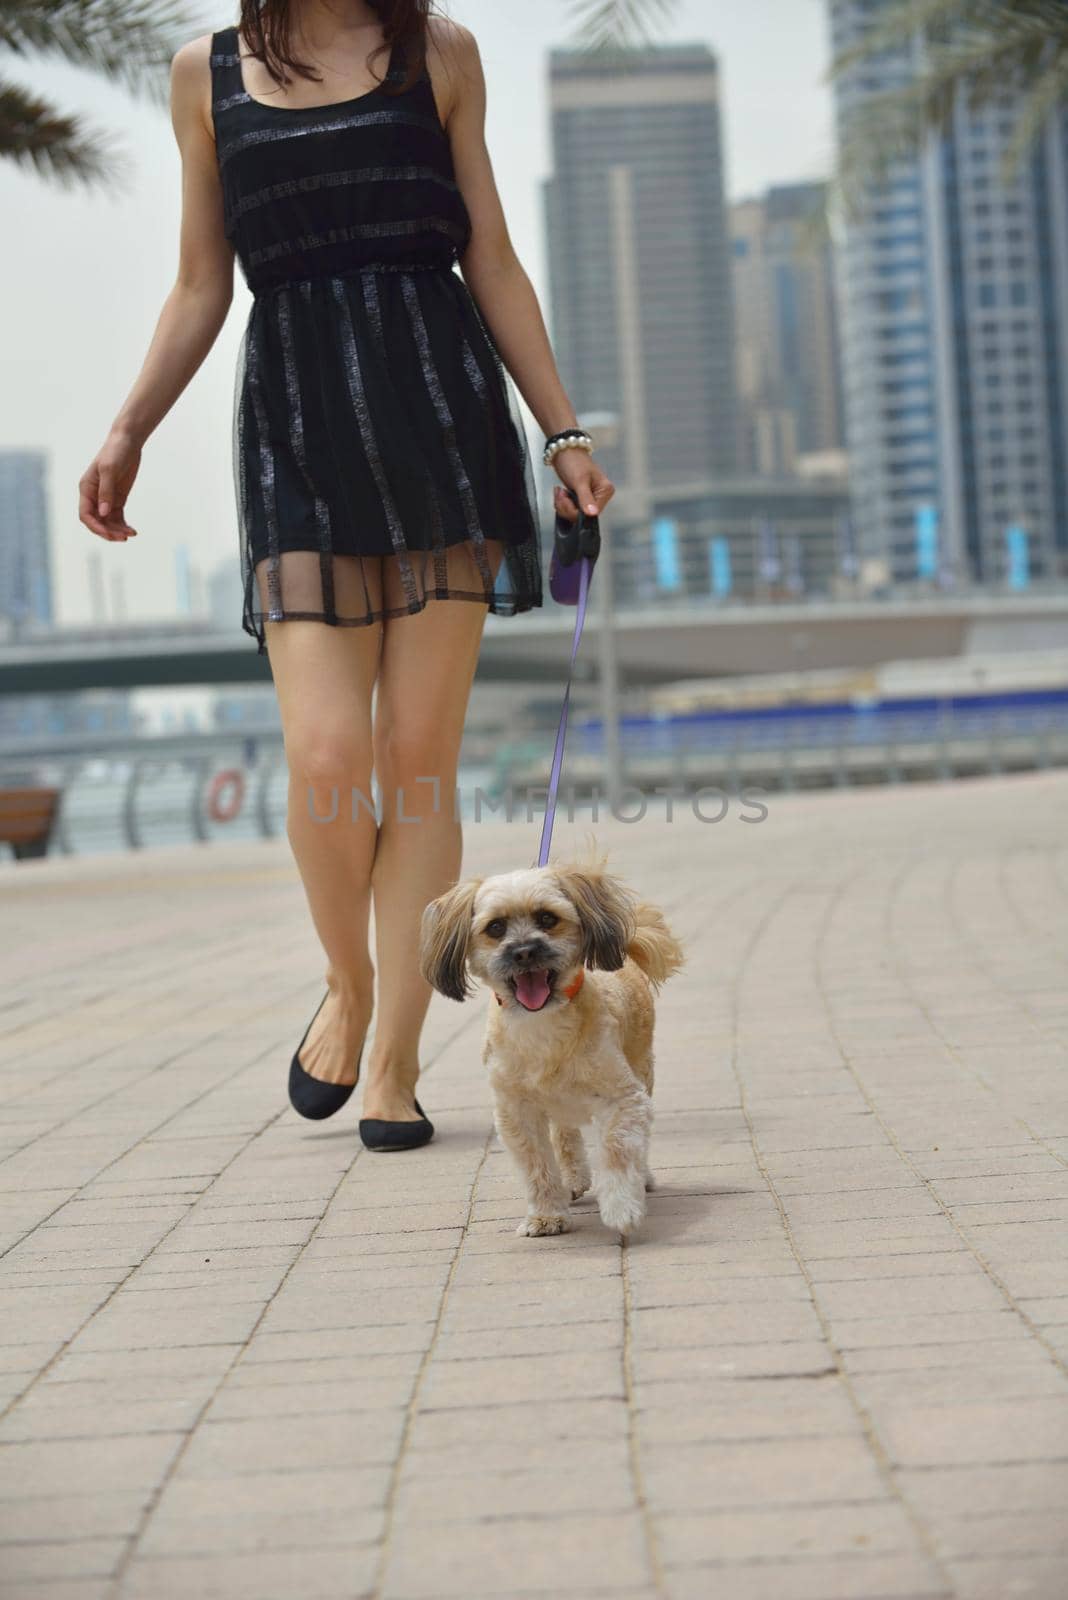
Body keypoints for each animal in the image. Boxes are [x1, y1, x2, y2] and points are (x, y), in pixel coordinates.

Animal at [418, 857, 684, 1241]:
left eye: (547, 918)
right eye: (495, 927)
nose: (524, 951)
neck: (541, 1026)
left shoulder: (623, 1099)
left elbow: (618, 1151)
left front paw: (622, 1208)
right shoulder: (516, 1112)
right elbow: (537, 1166)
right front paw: (546, 1215)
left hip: (641, 1070)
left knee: (633, 1141)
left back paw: (641, 1179)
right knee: (565, 1135)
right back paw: (573, 1179)